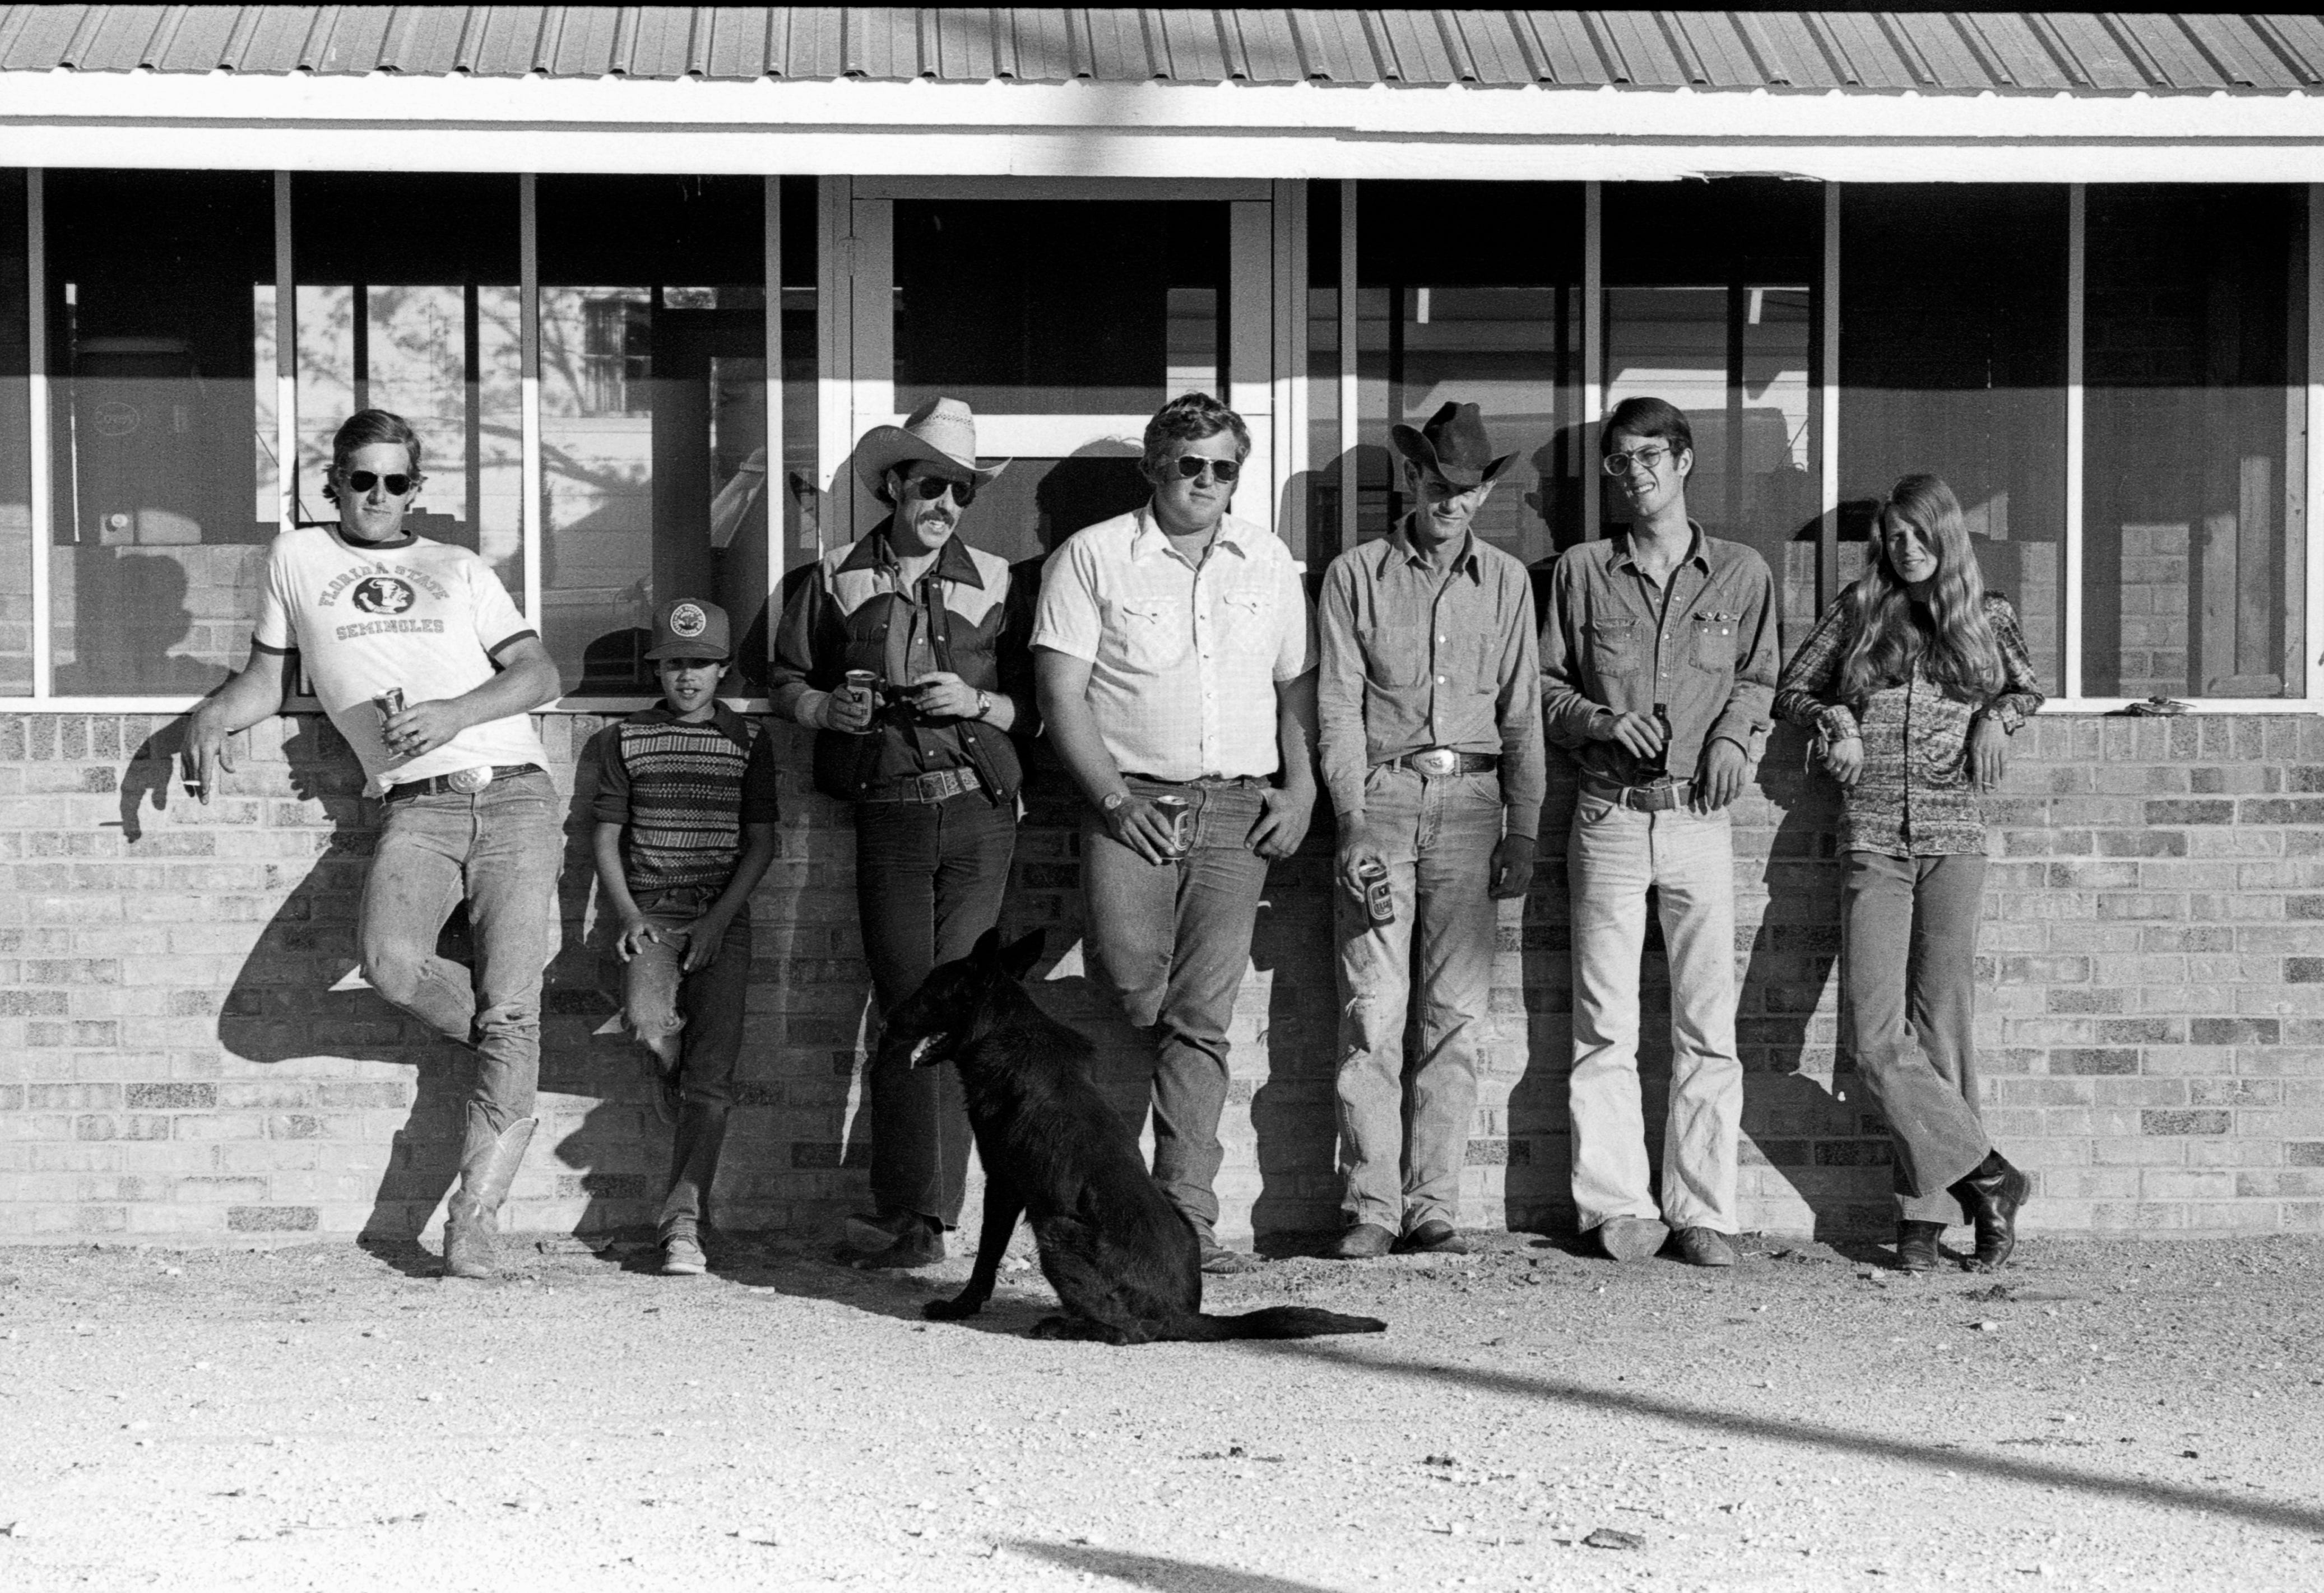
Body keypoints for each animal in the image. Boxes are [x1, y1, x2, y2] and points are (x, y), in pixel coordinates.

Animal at [874, 924, 1376, 1346]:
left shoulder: (1003, 1183)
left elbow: (985, 1257)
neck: (1005, 1026)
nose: (885, 1022)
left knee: (1130, 1332)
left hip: (1056, 1230)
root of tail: (1184, 1314)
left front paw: (960, 1306)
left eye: (928, 991)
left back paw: (1064, 1324)